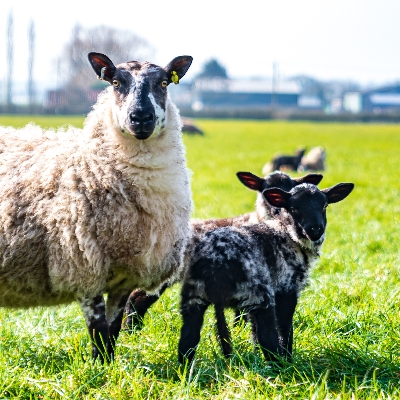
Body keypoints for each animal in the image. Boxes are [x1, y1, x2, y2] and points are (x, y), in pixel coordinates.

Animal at [0, 51, 194, 360]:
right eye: (115, 82)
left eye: (164, 83)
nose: (141, 117)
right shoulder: (83, 266)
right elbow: (99, 331)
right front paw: (98, 367)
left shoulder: (125, 277)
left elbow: (113, 330)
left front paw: (111, 366)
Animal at [178, 180, 354, 362]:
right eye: (294, 208)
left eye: (324, 206)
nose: (315, 229)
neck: (287, 233)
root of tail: (217, 259)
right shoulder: (286, 289)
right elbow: (284, 328)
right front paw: (288, 357)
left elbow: (254, 332)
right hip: (258, 294)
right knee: (268, 336)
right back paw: (280, 365)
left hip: (193, 294)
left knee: (188, 338)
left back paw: (185, 367)